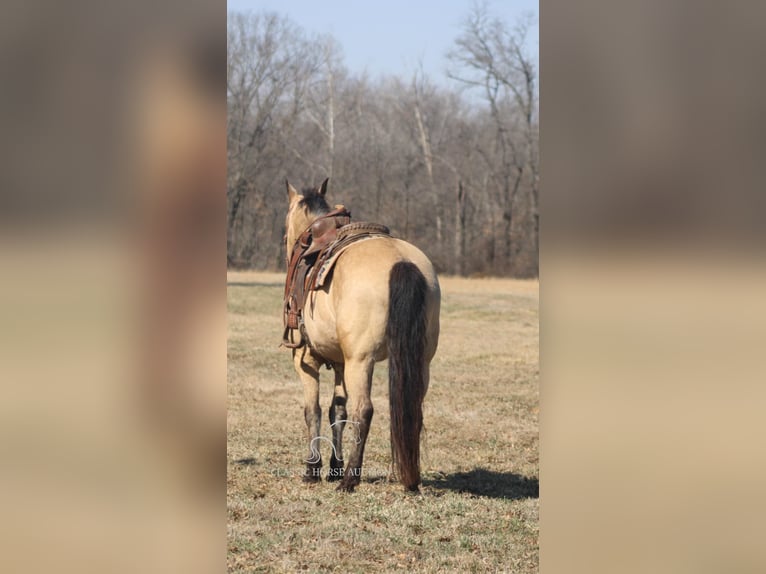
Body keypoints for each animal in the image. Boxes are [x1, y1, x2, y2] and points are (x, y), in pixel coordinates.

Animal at [282, 178, 440, 492]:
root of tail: (402, 261)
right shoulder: (340, 363)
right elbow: (337, 412)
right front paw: (333, 466)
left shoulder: (306, 360)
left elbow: (314, 411)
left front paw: (313, 469)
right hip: (420, 361)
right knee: (412, 410)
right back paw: (410, 479)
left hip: (361, 361)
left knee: (364, 410)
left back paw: (349, 480)